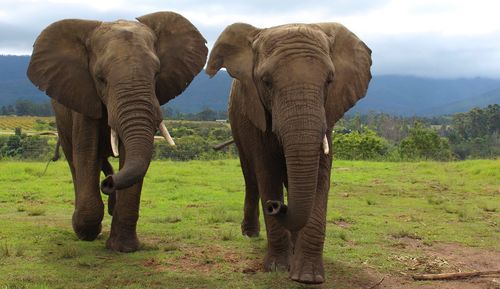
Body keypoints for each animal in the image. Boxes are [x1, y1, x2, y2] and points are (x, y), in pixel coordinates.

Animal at [27, 11, 207, 250]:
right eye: (100, 78)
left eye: (156, 74)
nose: (108, 184)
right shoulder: (84, 97)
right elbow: (86, 152)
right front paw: (85, 231)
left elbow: (129, 155)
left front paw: (124, 248)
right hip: (61, 117)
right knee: (74, 159)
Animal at [206, 23, 372, 284]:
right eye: (266, 82)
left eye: (330, 80)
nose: (275, 207)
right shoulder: (257, 115)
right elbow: (267, 173)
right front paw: (277, 268)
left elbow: (320, 178)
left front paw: (308, 276)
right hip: (237, 123)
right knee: (251, 177)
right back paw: (250, 234)